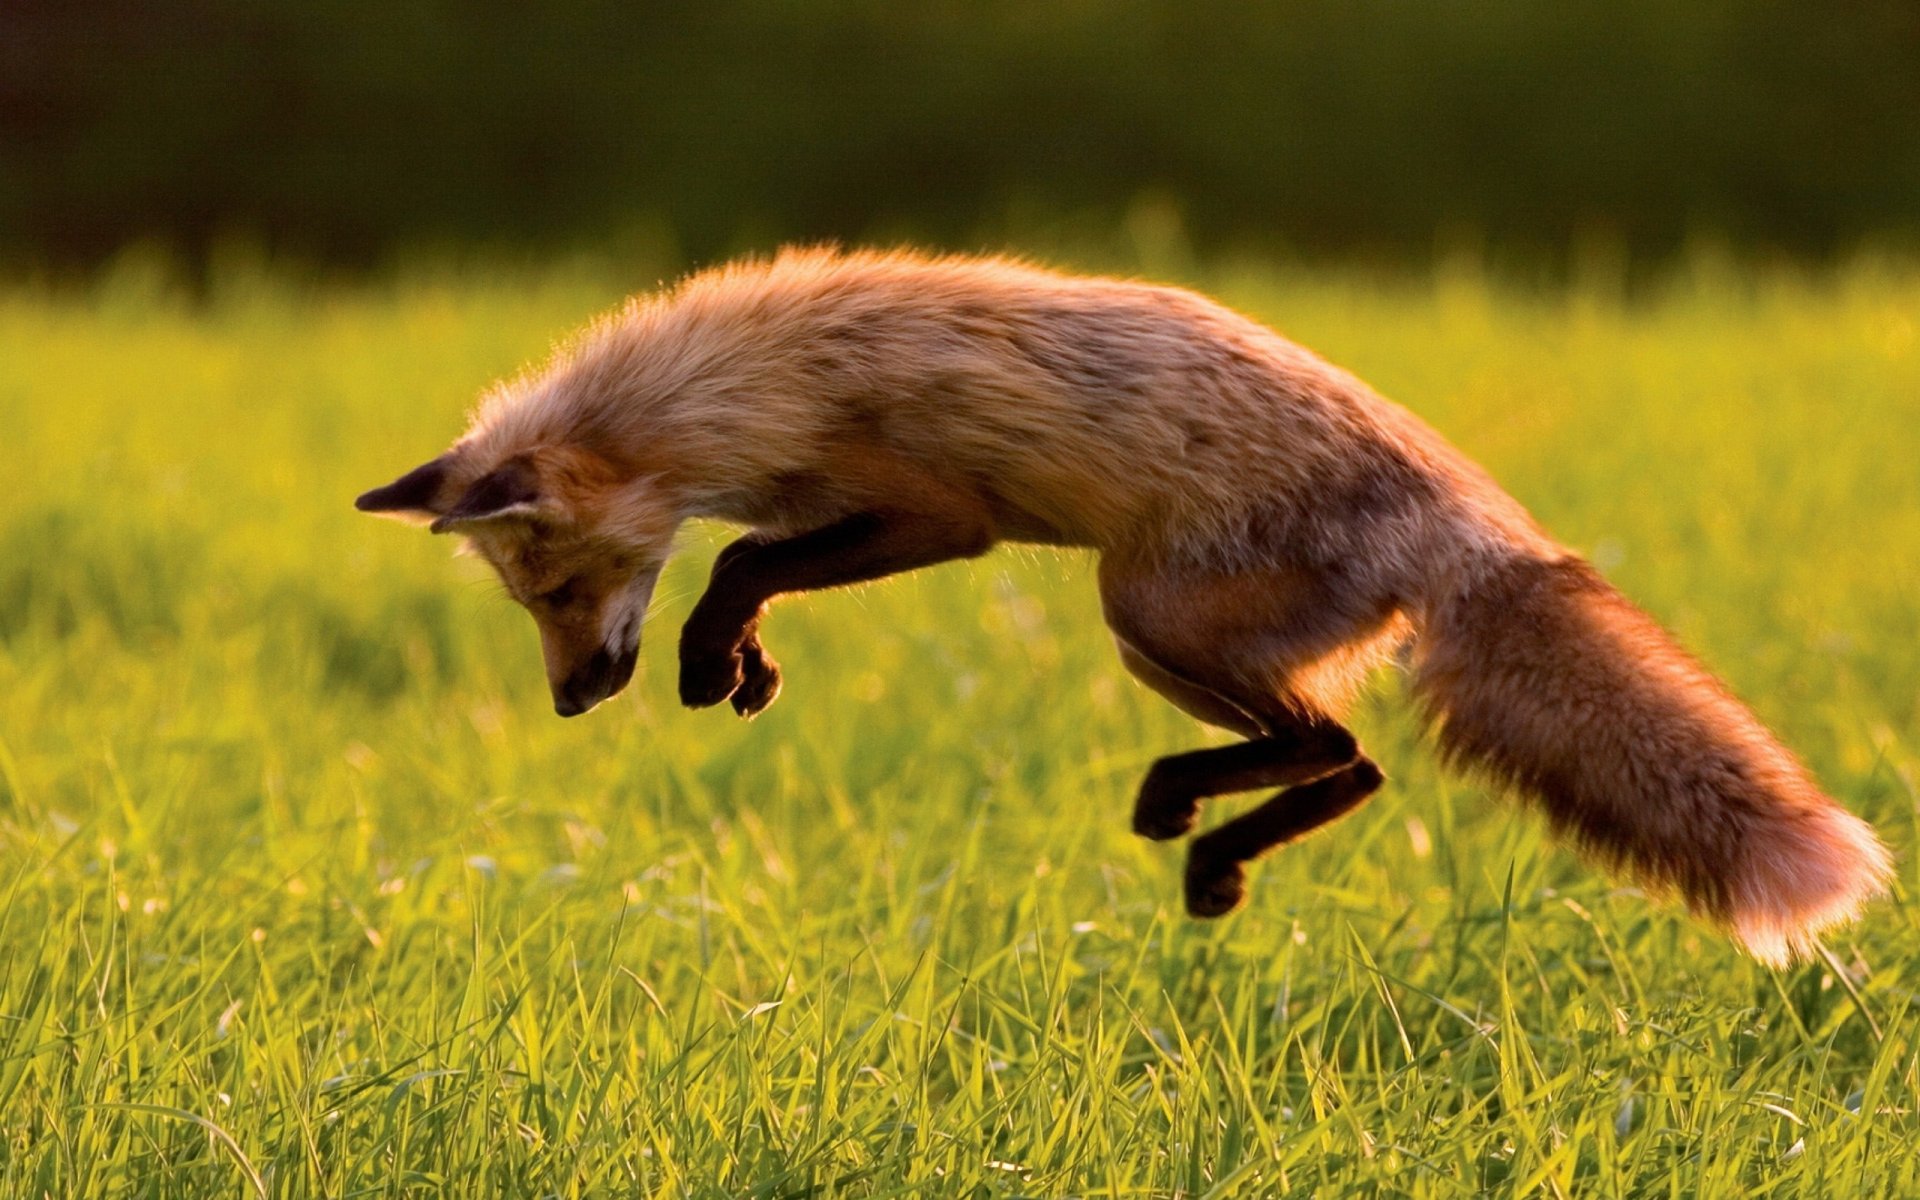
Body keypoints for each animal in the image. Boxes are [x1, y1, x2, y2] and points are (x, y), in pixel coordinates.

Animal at [357, 247, 1890, 965]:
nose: (575, 699)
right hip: (1163, 637)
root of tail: (1475, 518)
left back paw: (1193, 826)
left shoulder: (936, 512)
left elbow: (737, 563)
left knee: (1342, 750)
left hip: (1142, 609)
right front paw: (740, 669)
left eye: (559, 589)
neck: (736, 392)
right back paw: (1208, 847)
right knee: (1355, 761)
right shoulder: (857, 514)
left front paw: (714, 654)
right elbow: (746, 566)